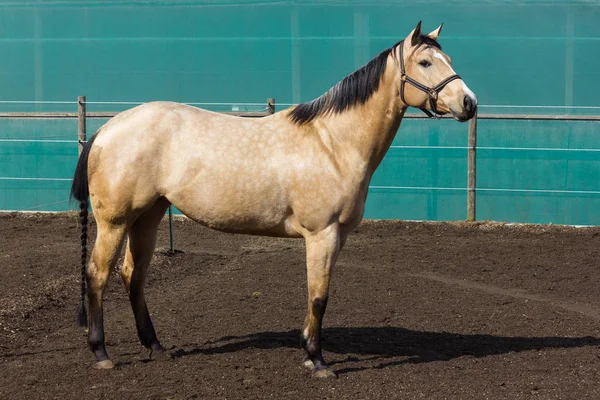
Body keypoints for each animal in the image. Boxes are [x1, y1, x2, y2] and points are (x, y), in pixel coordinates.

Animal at [70, 21, 478, 378]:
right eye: (425, 63)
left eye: (448, 59)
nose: (469, 103)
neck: (332, 142)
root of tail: (106, 129)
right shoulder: (321, 234)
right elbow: (318, 296)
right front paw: (317, 361)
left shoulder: (337, 237)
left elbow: (318, 295)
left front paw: (309, 352)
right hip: (115, 222)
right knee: (97, 274)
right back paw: (101, 353)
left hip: (148, 216)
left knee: (133, 275)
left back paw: (156, 347)